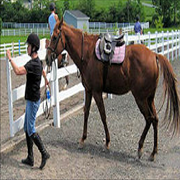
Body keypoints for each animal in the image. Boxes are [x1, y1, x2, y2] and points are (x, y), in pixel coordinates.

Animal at [45, 18, 180, 161]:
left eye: (54, 37)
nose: (47, 58)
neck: (87, 54)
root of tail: (154, 54)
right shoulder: (88, 90)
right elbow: (86, 112)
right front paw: (82, 139)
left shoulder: (97, 92)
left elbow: (103, 115)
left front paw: (107, 143)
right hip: (149, 98)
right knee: (155, 119)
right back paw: (153, 152)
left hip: (140, 98)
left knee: (149, 118)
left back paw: (141, 148)